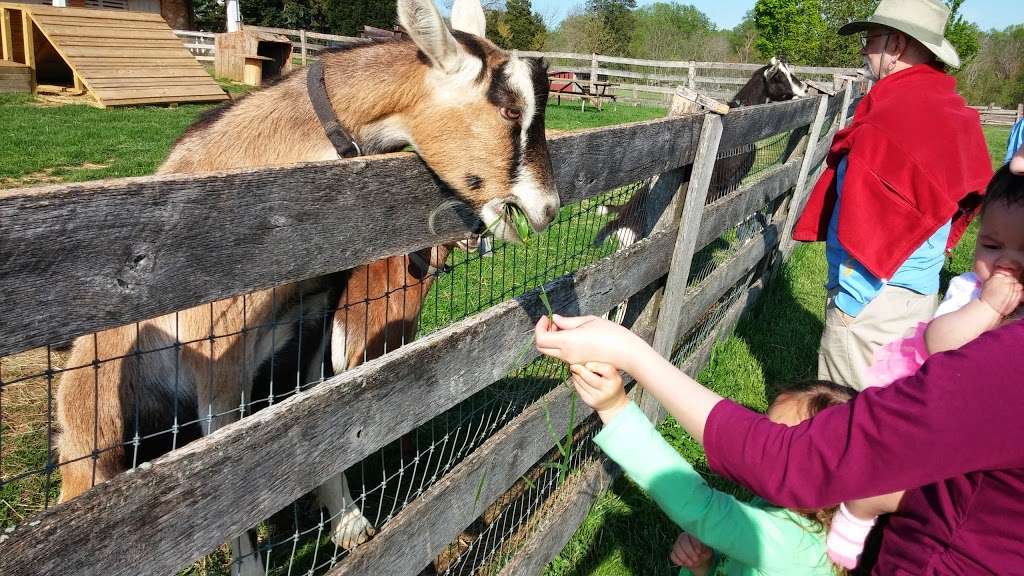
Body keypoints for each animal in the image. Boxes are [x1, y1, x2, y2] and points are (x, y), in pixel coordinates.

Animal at [52, 1, 557, 569]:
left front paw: (351, 524)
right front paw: (252, 566)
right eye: (511, 111)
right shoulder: (218, 367)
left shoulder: (313, 336)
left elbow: (325, 433)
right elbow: (229, 485)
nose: (549, 208)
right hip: (93, 433)